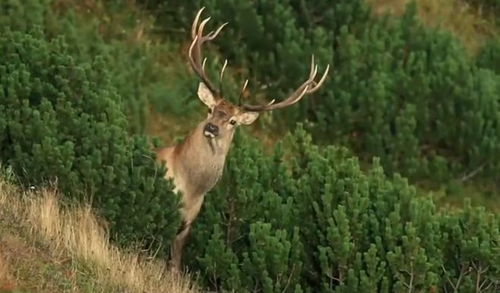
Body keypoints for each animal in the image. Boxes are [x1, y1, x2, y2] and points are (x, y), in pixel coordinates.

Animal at [154, 7, 330, 272]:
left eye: (233, 122)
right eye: (210, 109)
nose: (211, 127)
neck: (191, 189)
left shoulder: (189, 221)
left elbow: (175, 261)